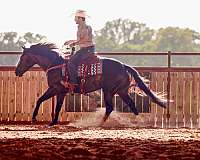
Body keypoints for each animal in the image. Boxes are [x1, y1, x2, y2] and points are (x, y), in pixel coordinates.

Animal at [15, 42, 167, 126]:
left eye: (23, 57)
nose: (17, 71)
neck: (56, 65)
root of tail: (124, 66)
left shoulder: (56, 89)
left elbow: (44, 101)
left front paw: (36, 119)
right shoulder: (60, 91)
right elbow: (50, 104)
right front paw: (51, 122)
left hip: (108, 90)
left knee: (110, 107)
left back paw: (100, 123)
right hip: (121, 91)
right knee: (131, 105)